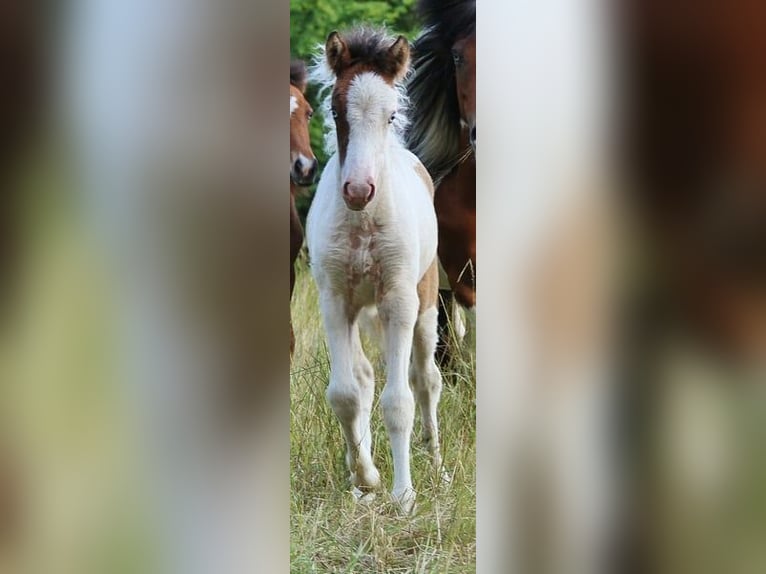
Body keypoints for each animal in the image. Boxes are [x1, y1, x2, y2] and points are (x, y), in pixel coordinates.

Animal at [306, 27, 442, 512]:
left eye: (391, 115)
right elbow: (346, 394)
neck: (363, 222)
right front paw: (366, 477)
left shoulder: (398, 301)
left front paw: (405, 495)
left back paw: (437, 465)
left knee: (426, 381)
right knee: (364, 379)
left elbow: (399, 400)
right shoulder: (334, 300)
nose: (358, 190)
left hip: (425, 303)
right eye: (334, 110)